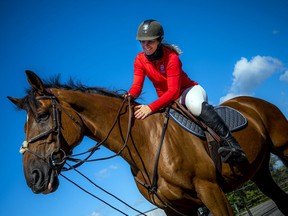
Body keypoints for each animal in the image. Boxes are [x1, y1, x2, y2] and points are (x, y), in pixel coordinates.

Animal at [7, 70, 288, 214]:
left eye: (43, 116)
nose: (33, 177)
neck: (145, 143)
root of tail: (251, 102)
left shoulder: (212, 192)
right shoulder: (175, 208)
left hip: (283, 149)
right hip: (260, 172)